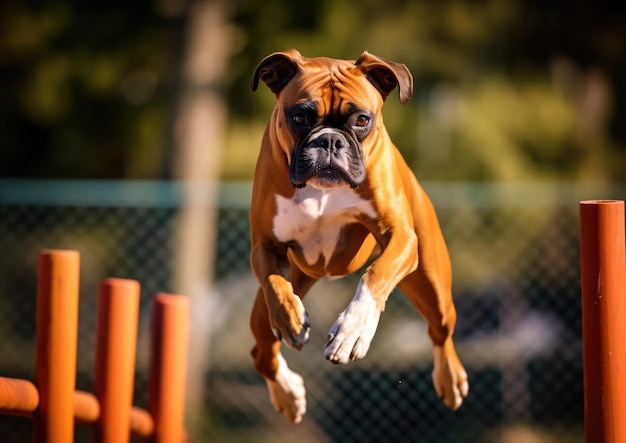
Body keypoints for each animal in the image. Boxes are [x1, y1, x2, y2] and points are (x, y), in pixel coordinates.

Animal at [246, 48, 466, 424]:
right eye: (299, 117)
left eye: (362, 120)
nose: (330, 140)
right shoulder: (264, 247)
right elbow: (276, 286)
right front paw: (291, 317)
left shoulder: (400, 238)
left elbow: (375, 275)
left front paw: (352, 330)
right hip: (267, 310)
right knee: (262, 350)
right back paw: (288, 395)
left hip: (432, 287)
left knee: (441, 331)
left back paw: (450, 381)